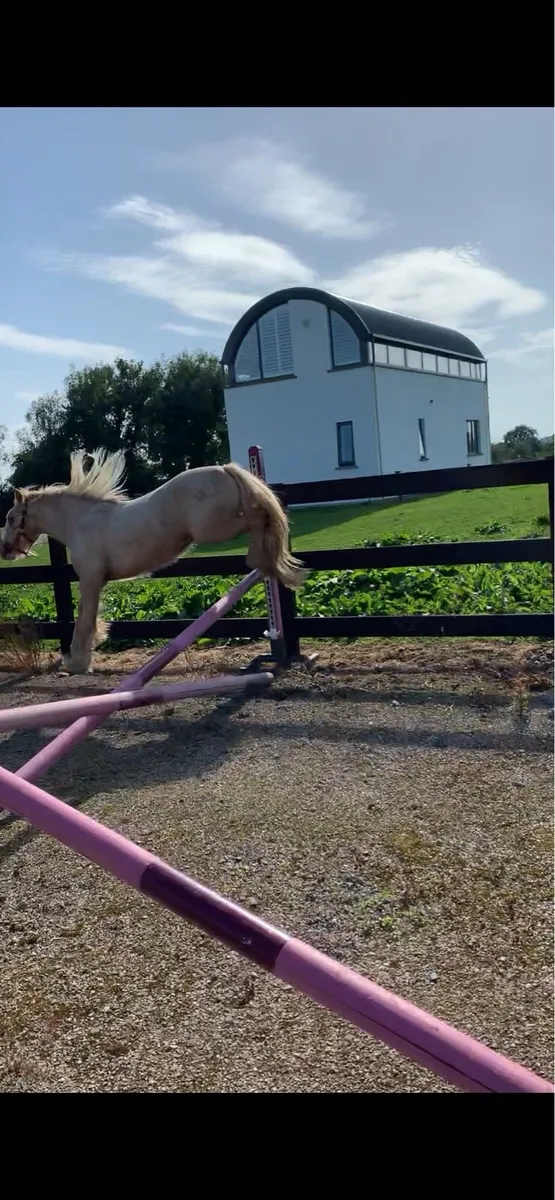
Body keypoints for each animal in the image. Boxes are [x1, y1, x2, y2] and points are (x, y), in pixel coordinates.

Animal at [0, 449, 308, 675]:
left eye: (11, 518)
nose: (5, 551)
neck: (80, 522)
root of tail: (224, 469)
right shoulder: (97, 581)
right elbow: (91, 620)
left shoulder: (90, 579)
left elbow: (84, 622)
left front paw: (76, 664)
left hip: (215, 527)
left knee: (260, 517)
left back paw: (260, 557)